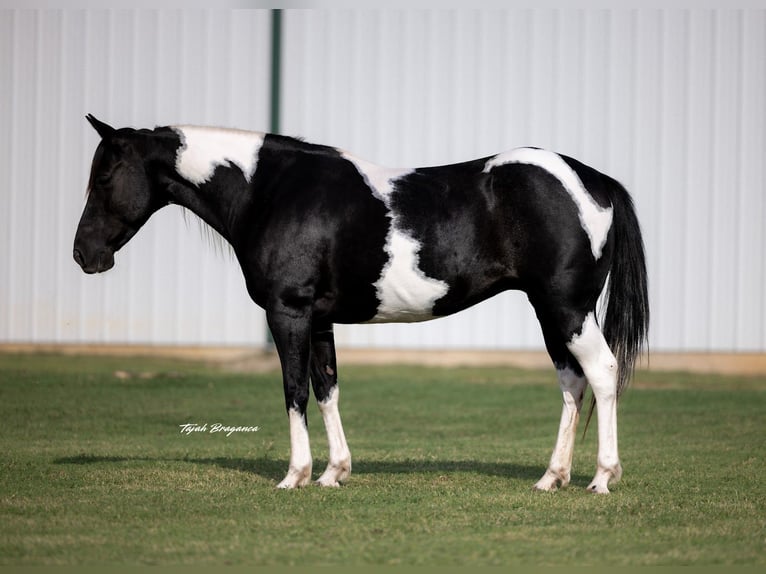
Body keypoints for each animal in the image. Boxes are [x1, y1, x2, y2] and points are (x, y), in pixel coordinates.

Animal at [74, 114, 648, 493]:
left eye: (104, 177)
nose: (83, 254)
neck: (272, 191)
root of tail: (595, 182)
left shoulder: (288, 312)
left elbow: (294, 389)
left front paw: (295, 476)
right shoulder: (319, 319)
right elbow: (326, 387)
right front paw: (334, 473)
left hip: (567, 308)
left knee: (601, 372)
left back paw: (602, 478)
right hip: (551, 311)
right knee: (572, 382)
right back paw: (552, 477)